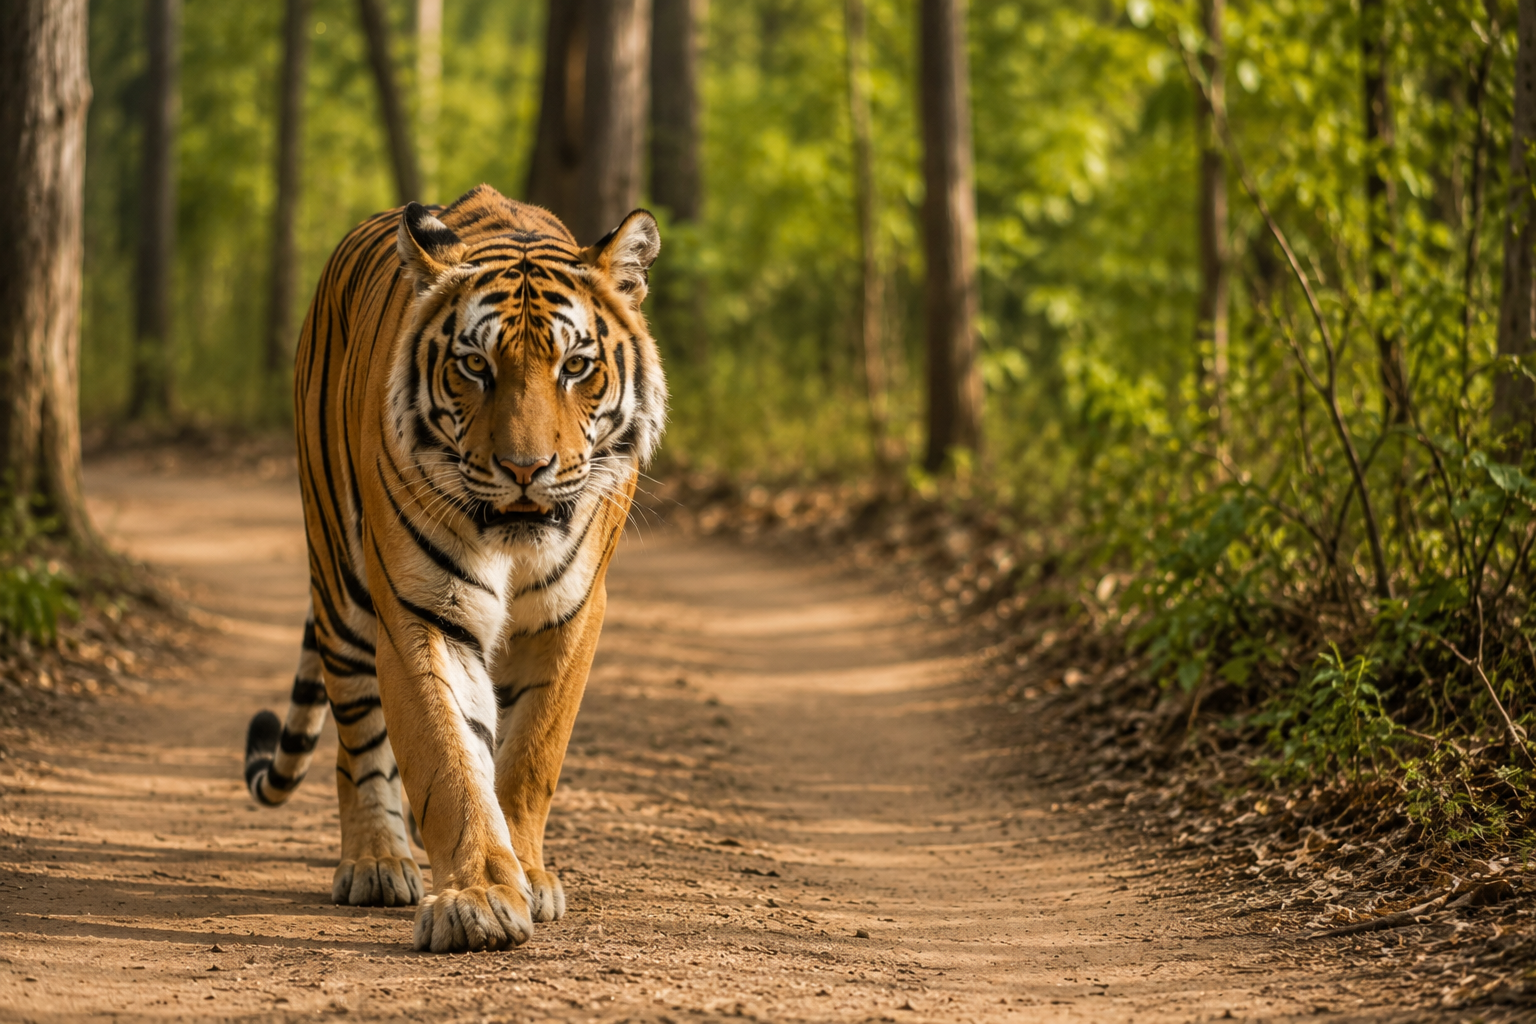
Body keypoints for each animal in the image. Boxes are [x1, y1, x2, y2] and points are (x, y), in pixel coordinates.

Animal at [240, 183, 664, 953]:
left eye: (575, 367)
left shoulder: (571, 613)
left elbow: (529, 756)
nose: (526, 469)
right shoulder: (420, 609)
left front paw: (526, 873)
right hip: (341, 580)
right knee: (356, 739)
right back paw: (377, 860)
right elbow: (448, 755)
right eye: (475, 366)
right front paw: (480, 897)